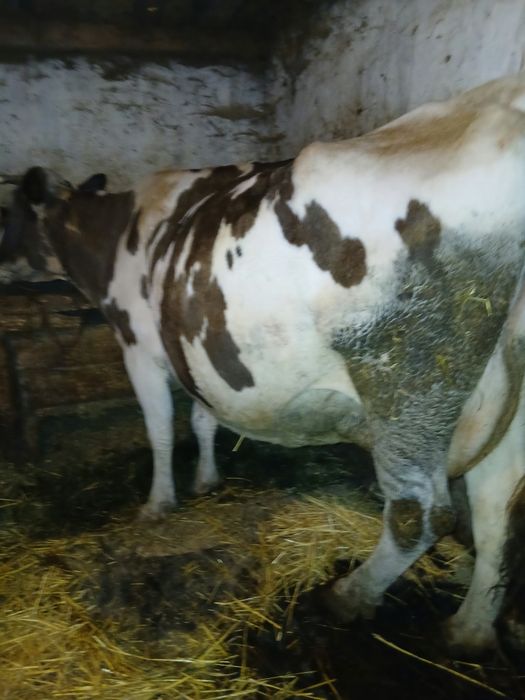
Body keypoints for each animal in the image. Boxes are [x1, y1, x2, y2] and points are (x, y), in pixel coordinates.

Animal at [3, 72, 525, 656]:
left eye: (9, 214)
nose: (3, 263)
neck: (116, 235)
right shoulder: (197, 351)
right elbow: (203, 417)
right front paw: (207, 479)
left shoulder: (138, 345)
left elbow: (160, 428)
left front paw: (159, 503)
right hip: (504, 390)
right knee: (497, 506)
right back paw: (469, 630)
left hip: (409, 375)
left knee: (422, 513)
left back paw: (348, 596)